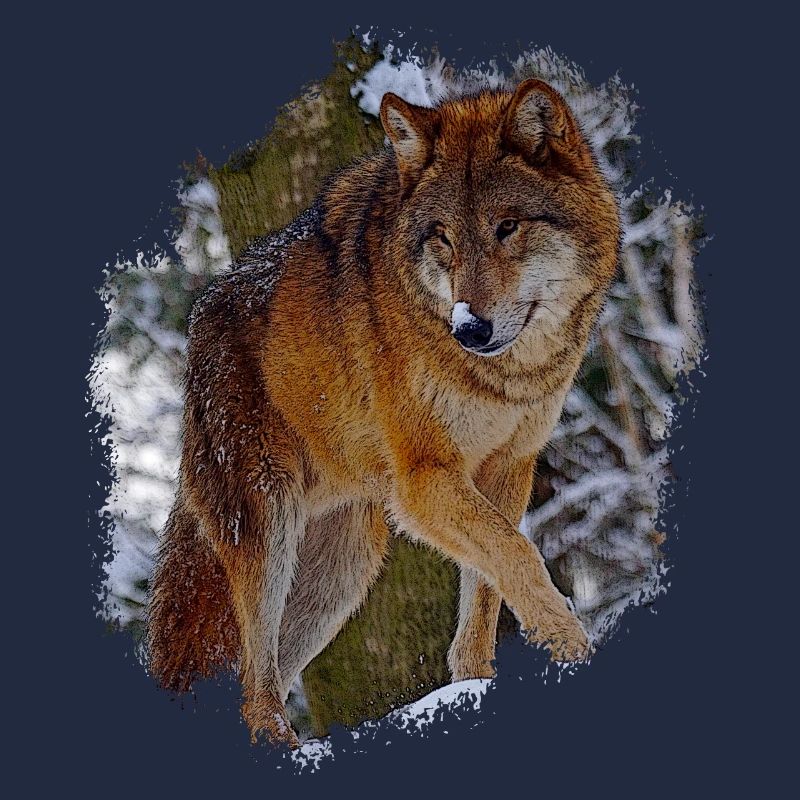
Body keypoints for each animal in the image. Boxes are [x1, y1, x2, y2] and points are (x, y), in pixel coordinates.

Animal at [147, 78, 621, 747]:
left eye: (507, 226)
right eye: (443, 236)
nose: (469, 329)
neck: (506, 377)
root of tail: (200, 319)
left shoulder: (508, 468)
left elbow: (488, 589)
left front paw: (474, 684)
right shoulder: (424, 481)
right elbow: (520, 557)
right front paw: (572, 648)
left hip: (340, 574)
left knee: (260, 675)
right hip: (268, 532)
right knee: (256, 688)